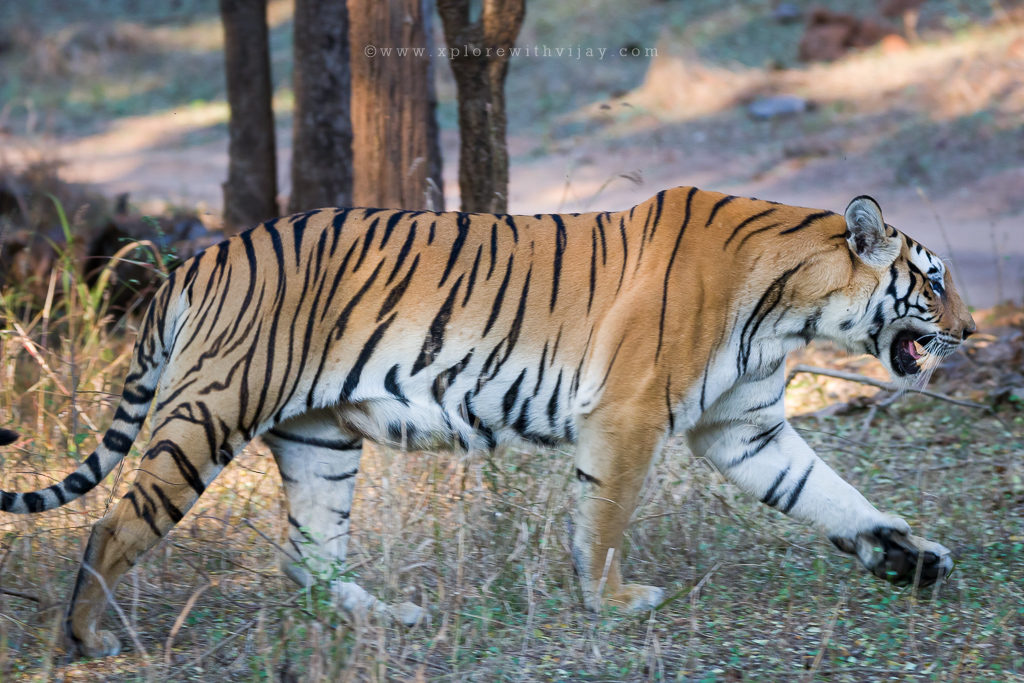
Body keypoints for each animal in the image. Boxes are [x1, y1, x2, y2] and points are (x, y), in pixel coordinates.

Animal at [2, 187, 974, 655]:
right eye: (933, 282)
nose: (971, 332)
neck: (794, 306)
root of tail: (199, 258)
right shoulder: (629, 414)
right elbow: (605, 517)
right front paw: (612, 600)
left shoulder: (749, 427)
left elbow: (828, 492)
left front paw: (909, 556)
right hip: (211, 410)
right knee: (113, 524)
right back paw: (84, 638)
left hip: (319, 437)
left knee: (309, 552)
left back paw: (387, 617)